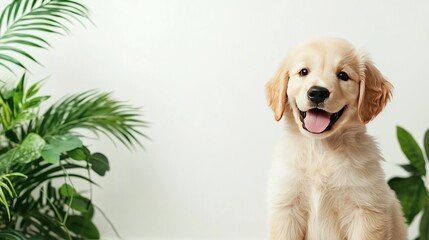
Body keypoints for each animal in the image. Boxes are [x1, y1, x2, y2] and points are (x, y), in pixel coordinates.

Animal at [266, 38, 406, 239]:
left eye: (343, 75)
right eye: (303, 72)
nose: (317, 92)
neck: (321, 150)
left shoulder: (366, 208)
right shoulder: (286, 206)